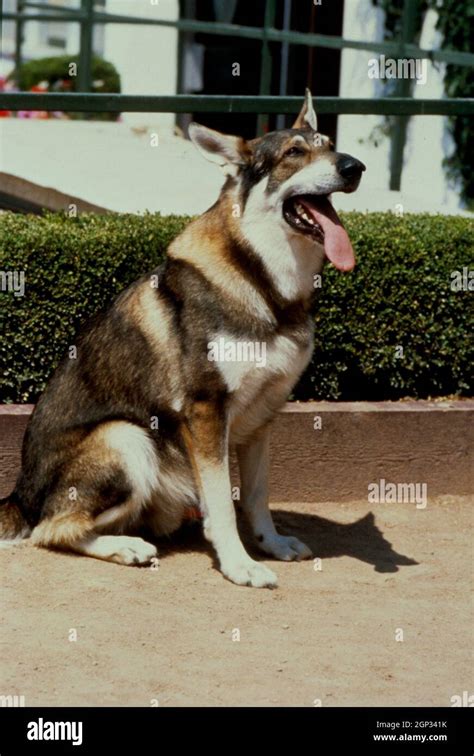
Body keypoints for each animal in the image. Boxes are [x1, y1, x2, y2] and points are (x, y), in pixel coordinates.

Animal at [0, 91, 366, 588]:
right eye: (294, 153)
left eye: (329, 144)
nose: (354, 166)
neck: (264, 283)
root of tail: (19, 496)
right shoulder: (206, 411)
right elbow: (224, 505)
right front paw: (239, 566)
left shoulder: (263, 416)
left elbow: (256, 497)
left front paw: (270, 545)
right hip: (129, 438)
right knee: (51, 529)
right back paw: (127, 547)